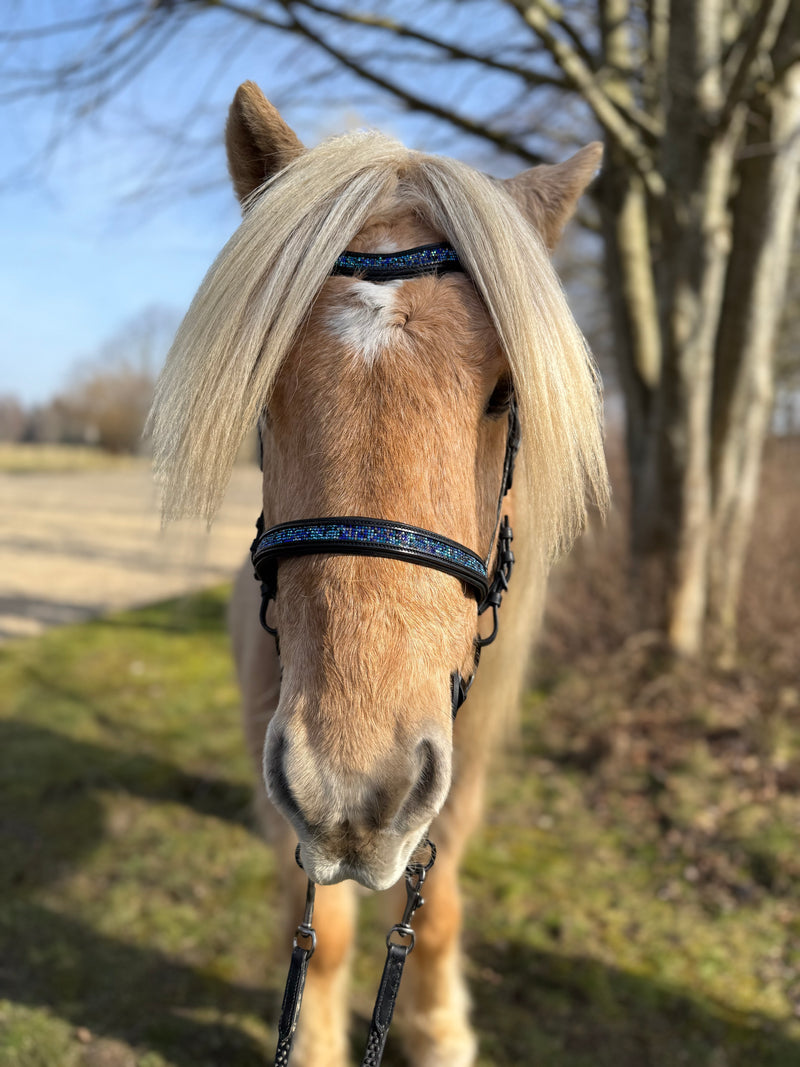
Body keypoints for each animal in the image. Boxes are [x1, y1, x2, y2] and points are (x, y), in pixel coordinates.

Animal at [149, 81, 605, 1067]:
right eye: (263, 384)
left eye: (506, 393)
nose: (359, 789)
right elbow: (320, 938)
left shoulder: (459, 769)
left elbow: (437, 910)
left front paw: (439, 1033)